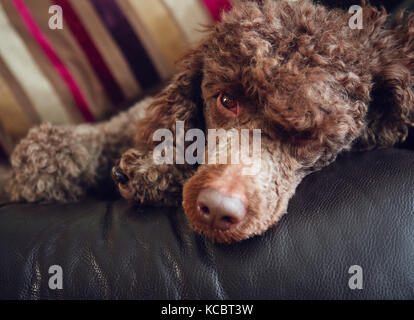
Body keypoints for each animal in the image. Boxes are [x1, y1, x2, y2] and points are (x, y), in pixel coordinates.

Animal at [6, 1, 414, 244]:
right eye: (226, 100)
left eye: (309, 135)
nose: (218, 210)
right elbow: (130, 123)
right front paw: (46, 159)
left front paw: (155, 173)